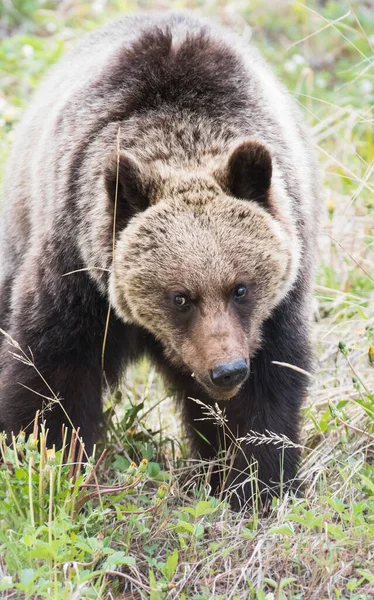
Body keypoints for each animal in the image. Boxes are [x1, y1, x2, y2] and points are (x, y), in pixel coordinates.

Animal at [0, 11, 322, 508]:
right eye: (180, 297)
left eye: (241, 287)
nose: (226, 370)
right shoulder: (77, 273)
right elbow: (51, 374)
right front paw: (48, 467)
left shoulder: (276, 303)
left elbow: (268, 391)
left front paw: (258, 483)